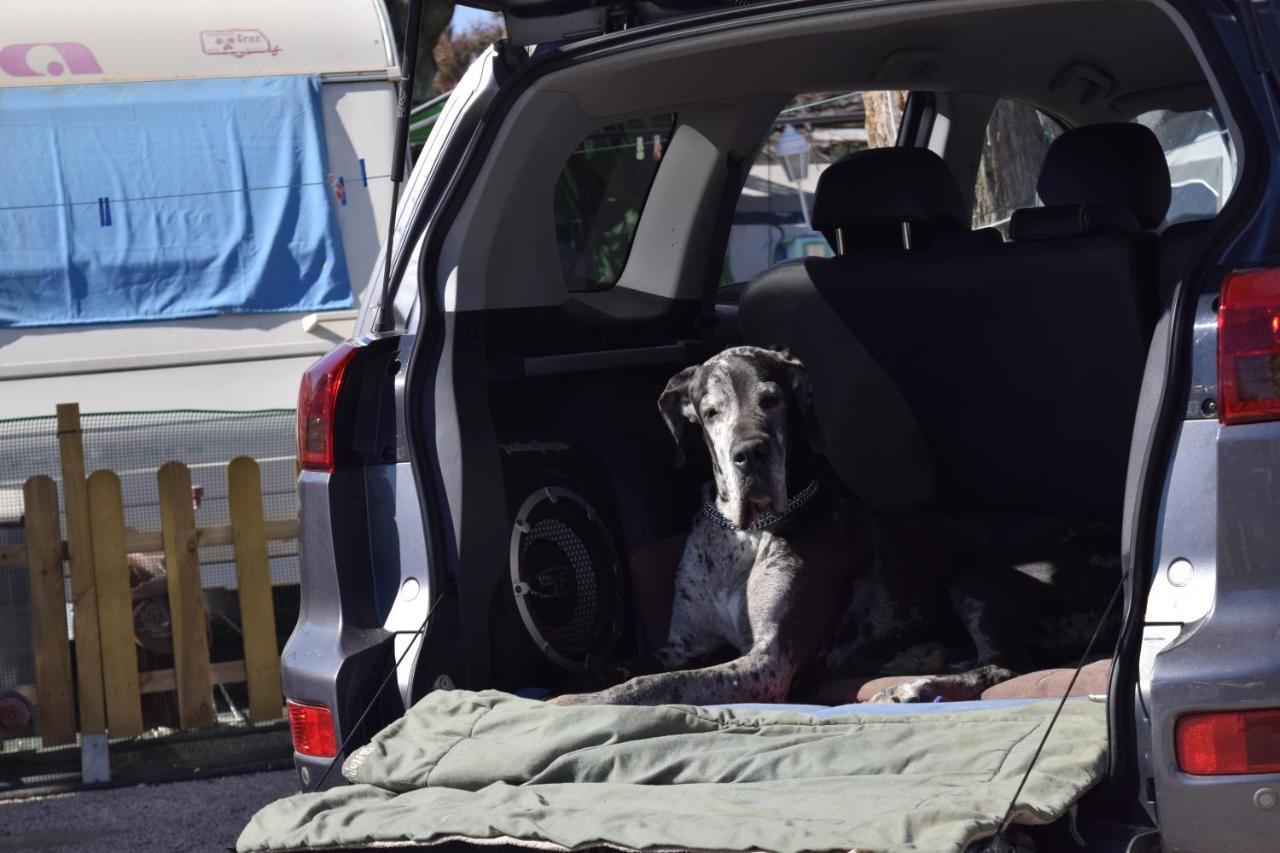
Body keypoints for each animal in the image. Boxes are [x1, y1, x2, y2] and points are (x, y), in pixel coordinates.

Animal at [555, 343, 1116, 701]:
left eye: (772, 399)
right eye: (711, 411)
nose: (750, 454)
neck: (746, 533)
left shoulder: (769, 663)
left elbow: (651, 685)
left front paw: (586, 707)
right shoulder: (684, 647)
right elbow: (624, 667)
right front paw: (574, 687)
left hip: (979, 579)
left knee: (1009, 663)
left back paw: (920, 684)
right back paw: (920, 659)